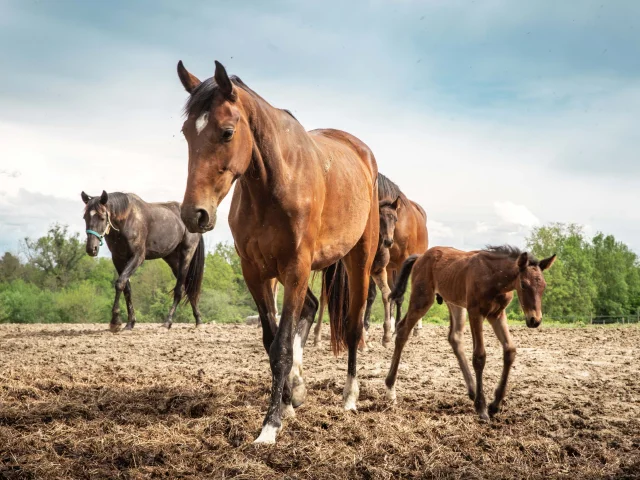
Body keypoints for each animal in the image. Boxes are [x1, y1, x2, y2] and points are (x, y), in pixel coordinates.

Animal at [81, 190, 205, 332]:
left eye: (102, 217)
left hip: (186, 255)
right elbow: (126, 288)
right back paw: (198, 320)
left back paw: (167, 322)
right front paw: (130, 323)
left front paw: (115, 322)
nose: (91, 249)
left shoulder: (138, 257)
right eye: (85, 217)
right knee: (187, 288)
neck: (127, 220)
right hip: (172, 259)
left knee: (179, 290)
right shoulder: (118, 259)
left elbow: (119, 283)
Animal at [176, 60, 379, 444]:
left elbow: (282, 346)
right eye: (185, 133)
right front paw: (288, 400)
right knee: (312, 307)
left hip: (359, 260)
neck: (275, 184)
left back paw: (349, 397)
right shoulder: (256, 272)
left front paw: (269, 427)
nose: (194, 214)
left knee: (353, 325)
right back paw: (298, 388)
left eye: (227, 132)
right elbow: (271, 342)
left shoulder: (295, 267)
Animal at [312, 173, 428, 348]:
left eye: (395, 219)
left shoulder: (393, 264)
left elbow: (393, 295)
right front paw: (367, 331)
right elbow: (372, 296)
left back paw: (412, 328)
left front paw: (391, 332)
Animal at [385, 245, 556, 420]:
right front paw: (482, 408)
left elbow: (510, 350)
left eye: (543, 286)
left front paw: (494, 405)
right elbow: (479, 356)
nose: (535, 320)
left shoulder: (497, 314)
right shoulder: (475, 312)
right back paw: (391, 390)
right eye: (523, 284)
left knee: (454, 337)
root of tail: (420, 257)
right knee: (403, 330)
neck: (494, 277)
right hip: (422, 298)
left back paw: (473, 391)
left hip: (454, 303)